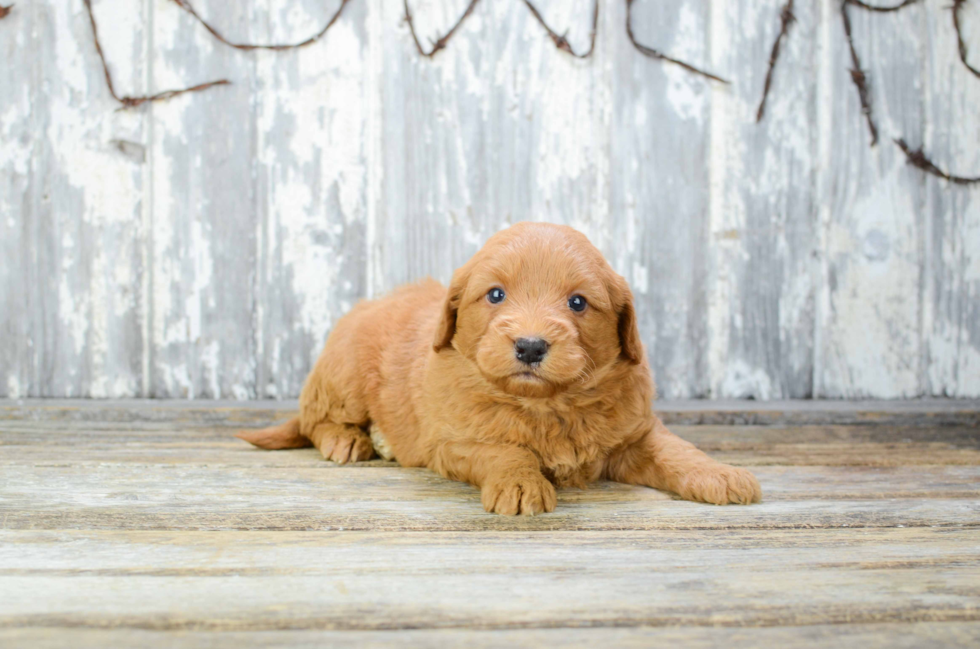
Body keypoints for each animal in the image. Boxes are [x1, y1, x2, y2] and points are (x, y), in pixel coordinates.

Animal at [241, 221, 760, 512]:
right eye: (495, 294)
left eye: (578, 302)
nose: (530, 346)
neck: (548, 404)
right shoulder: (454, 441)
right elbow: (504, 451)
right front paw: (520, 483)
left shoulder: (634, 433)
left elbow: (676, 449)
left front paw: (720, 474)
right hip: (343, 375)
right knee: (315, 419)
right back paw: (348, 440)